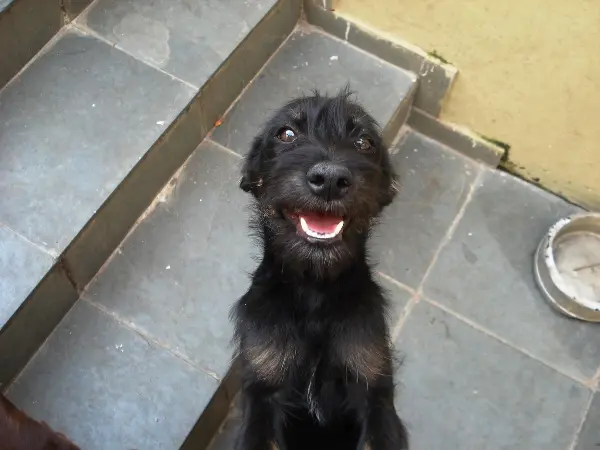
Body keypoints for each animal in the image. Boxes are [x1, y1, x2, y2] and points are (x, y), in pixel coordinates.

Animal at [231, 88, 408, 450]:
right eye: (286, 134)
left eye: (364, 141)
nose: (329, 179)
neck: (315, 289)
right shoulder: (262, 390)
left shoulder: (374, 389)